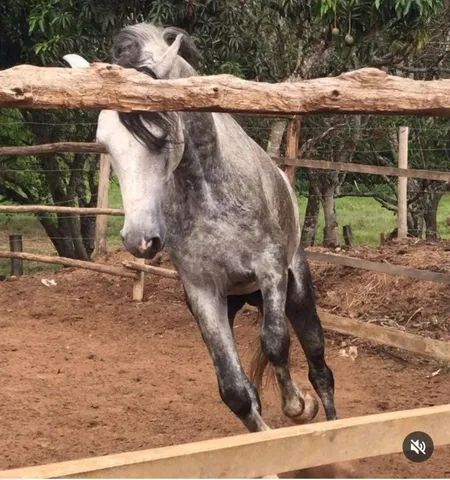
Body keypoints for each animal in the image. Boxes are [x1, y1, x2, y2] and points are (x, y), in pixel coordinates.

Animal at [92, 24, 338, 434]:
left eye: (160, 134)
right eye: (104, 142)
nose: (138, 239)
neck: (211, 195)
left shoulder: (271, 270)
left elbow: (275, 342)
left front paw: (298, 405)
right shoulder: (202, 290)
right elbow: (235, 390)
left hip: (298, 291)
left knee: (320, 367)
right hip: (235, 301)